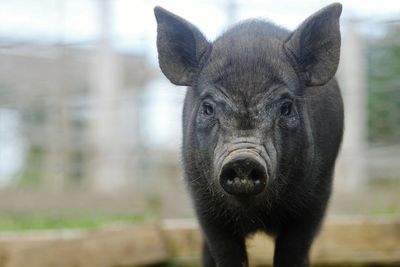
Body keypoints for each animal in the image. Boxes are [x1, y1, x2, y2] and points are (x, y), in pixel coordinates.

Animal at [155, 2, 346, 267]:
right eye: (208, 107)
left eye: (286, 108)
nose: (243, 159)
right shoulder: (204, 204)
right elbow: (226, 253)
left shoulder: (315, 199)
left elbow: (293, 252)